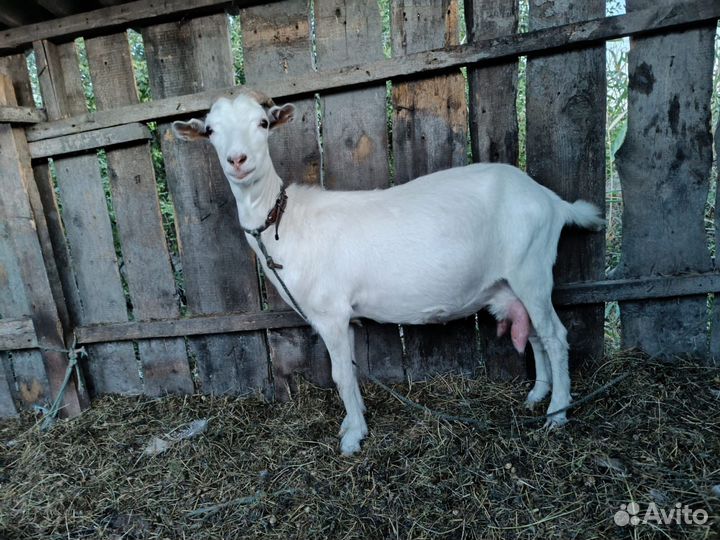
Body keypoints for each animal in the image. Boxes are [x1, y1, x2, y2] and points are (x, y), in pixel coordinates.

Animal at [173, 91, 604, 455]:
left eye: (262, 123)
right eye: (210, 130)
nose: (238, 160)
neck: (284, 221)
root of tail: (551, 200)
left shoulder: (330, 313)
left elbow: (339, 375)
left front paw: (352, 439)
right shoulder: (344, 317)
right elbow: (349, 370)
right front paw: (355, 421)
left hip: (532, 270)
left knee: (556, 336)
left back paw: (558, 413)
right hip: (511, 282)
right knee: (534, 334)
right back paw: (537, 397)